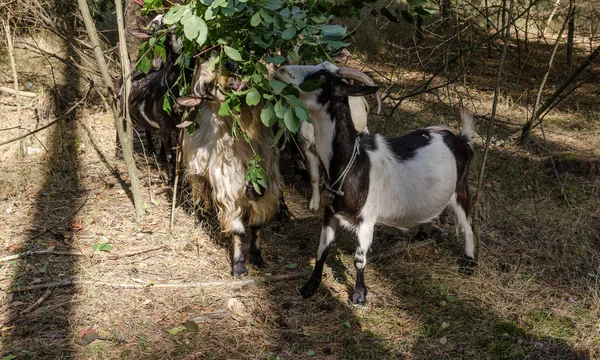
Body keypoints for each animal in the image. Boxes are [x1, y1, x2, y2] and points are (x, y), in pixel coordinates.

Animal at [179, 57, 284, 276]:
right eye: (209, 86)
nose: (233, 80)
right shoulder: (228, 186)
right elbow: (238, 231)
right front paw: (239, 266)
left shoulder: (268, 181)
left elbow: (257, 225)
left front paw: (257, 258)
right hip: (197, 170)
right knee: (200, 192)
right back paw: (201, 215)